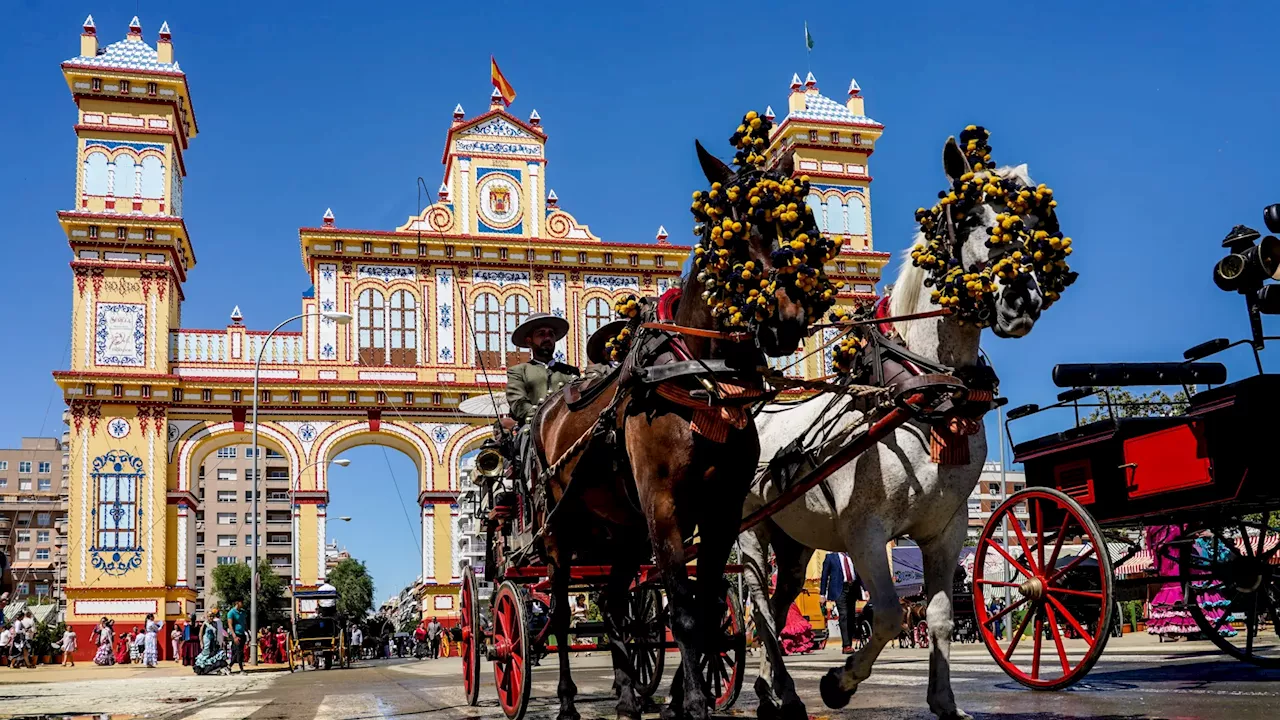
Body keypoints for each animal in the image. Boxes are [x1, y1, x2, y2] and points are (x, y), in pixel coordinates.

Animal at [529, 140, 819, 717]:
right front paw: (695, 704)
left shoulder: (721, 509)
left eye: (796, 219)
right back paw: (569, 699)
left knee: (615, 602)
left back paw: (626, 695)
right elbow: (682, 612)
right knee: (561, 614)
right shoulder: (663, 504)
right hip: (559, 529)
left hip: (622, 530)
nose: (787, 316)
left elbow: (704, 609)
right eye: (732, 230)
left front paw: (682, 697)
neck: (702, 383)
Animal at [742, 134, 1059, 717]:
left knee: (778, 600)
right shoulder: (864, 533)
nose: (1021, 298)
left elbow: (937, 616)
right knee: (756, 605)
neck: (926, 394)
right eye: (969, 216)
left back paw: (772, 687)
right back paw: (783, 689)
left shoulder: (945, 529)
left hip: (794, 537)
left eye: (1028, 224)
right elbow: (888, 613)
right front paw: (838, 683)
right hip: (752, 530)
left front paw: (945, 700)